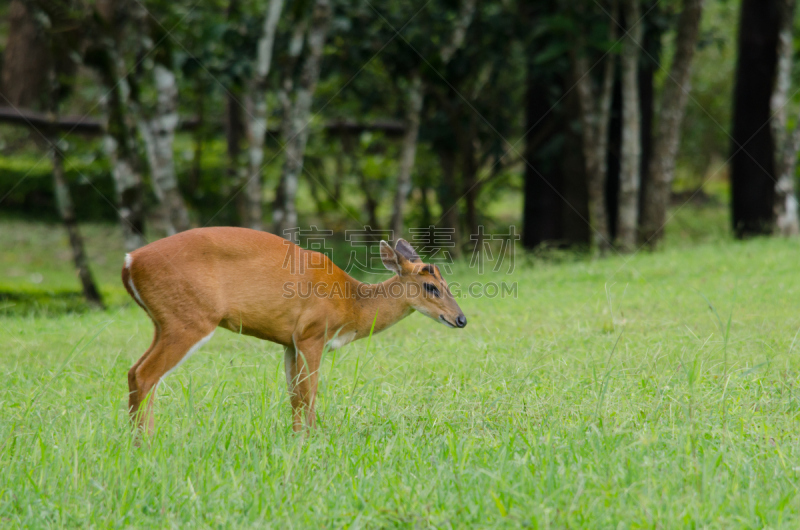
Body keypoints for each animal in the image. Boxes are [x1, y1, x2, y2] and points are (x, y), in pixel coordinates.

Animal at [121, 225, 466, 432]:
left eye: (447, 283)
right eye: (431, 286)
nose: (461, 319)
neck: (352, 304)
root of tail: (129, 262)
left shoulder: (290, 341)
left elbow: (294, 396)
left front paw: (296, 440)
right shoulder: (312, 333)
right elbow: (309, 394)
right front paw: (310, 441)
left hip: (162, 321)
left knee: (135, 372)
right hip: (190, 319)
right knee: (146, 375)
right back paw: (145, 445)